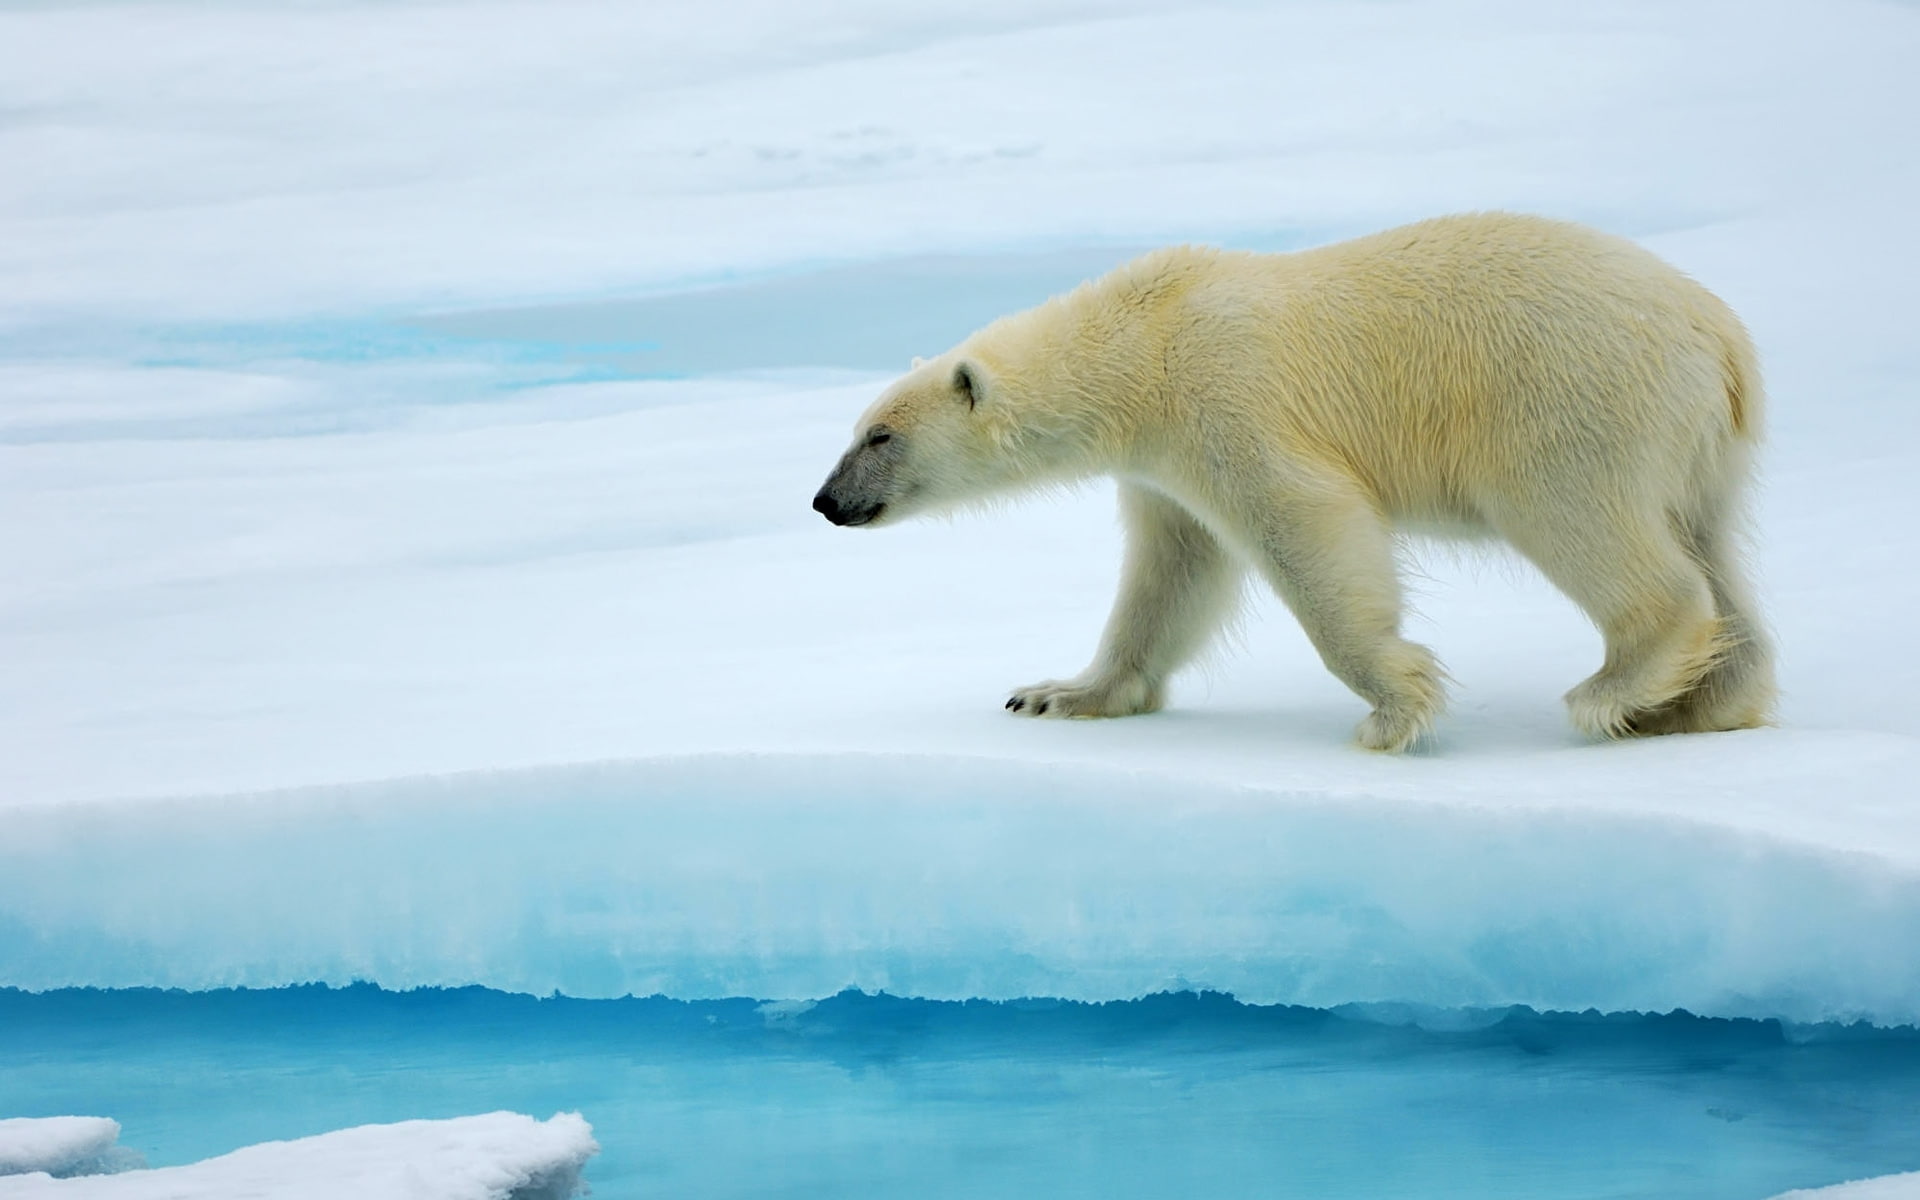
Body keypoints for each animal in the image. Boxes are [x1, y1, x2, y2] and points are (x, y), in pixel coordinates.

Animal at [812, 212, 1775, 752]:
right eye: (855, 430)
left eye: (880, 435)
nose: (825, 502)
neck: (1141, 343)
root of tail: (1721, 337)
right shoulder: (1162, 466)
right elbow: (1171, 573)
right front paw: (1057, 694)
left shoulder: (1226, 399)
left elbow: (1304, 525)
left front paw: (1395, 707)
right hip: (1697, 446)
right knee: (1712, 547)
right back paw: (1702, 703)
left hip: (1568, 402)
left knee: (1589, 526)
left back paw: (1615, 690)